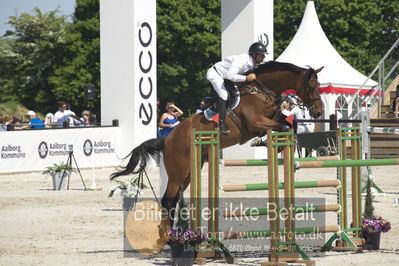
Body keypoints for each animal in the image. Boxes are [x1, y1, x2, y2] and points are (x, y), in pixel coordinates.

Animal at [110, 60, 324, 249]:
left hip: (190, 171)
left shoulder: (273, 117)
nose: (319, 112)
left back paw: (173, 237)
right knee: (167, 200)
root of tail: (167, 139)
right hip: (178, 172)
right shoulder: (256, 123)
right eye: (312, 86)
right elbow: (282, 125)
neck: (261, 92)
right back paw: (165, 238)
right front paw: (263, 142)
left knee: (175, 199)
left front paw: (285, 153)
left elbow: (289, 123)